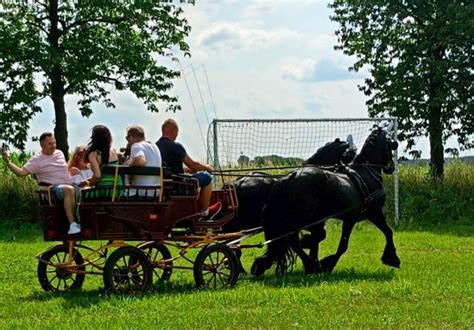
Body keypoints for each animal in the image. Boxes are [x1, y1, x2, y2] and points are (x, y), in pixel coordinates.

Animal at [252, 126, 400, 276]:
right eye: (391, 144)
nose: (391, 167)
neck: (367, 171)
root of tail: (289, 177)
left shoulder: (349, 219)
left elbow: (337, 243)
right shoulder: (374, 213)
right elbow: (387, 232)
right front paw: (392, 258)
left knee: (290, 240)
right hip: (301, 219)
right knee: (292, 239)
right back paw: (310, 265)